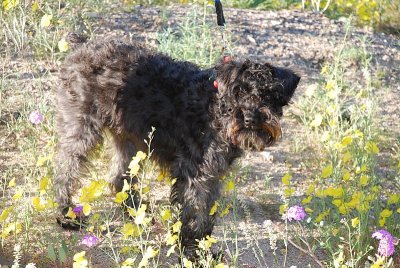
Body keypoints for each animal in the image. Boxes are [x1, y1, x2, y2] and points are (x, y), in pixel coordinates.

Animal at [55, 39, 300, 260]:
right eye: (239, 91)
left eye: (268, 94)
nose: (250, 118)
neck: (216, 108)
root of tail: (81, 47)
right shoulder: (194, 172)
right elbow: (192, 211)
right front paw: (192, 251)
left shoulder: (212, 173)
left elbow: (206, 211)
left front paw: (204, 245)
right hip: (83, 128)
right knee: (65, 169)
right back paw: (66, 215)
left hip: (129, 138)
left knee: (118, 177)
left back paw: (136, 212)